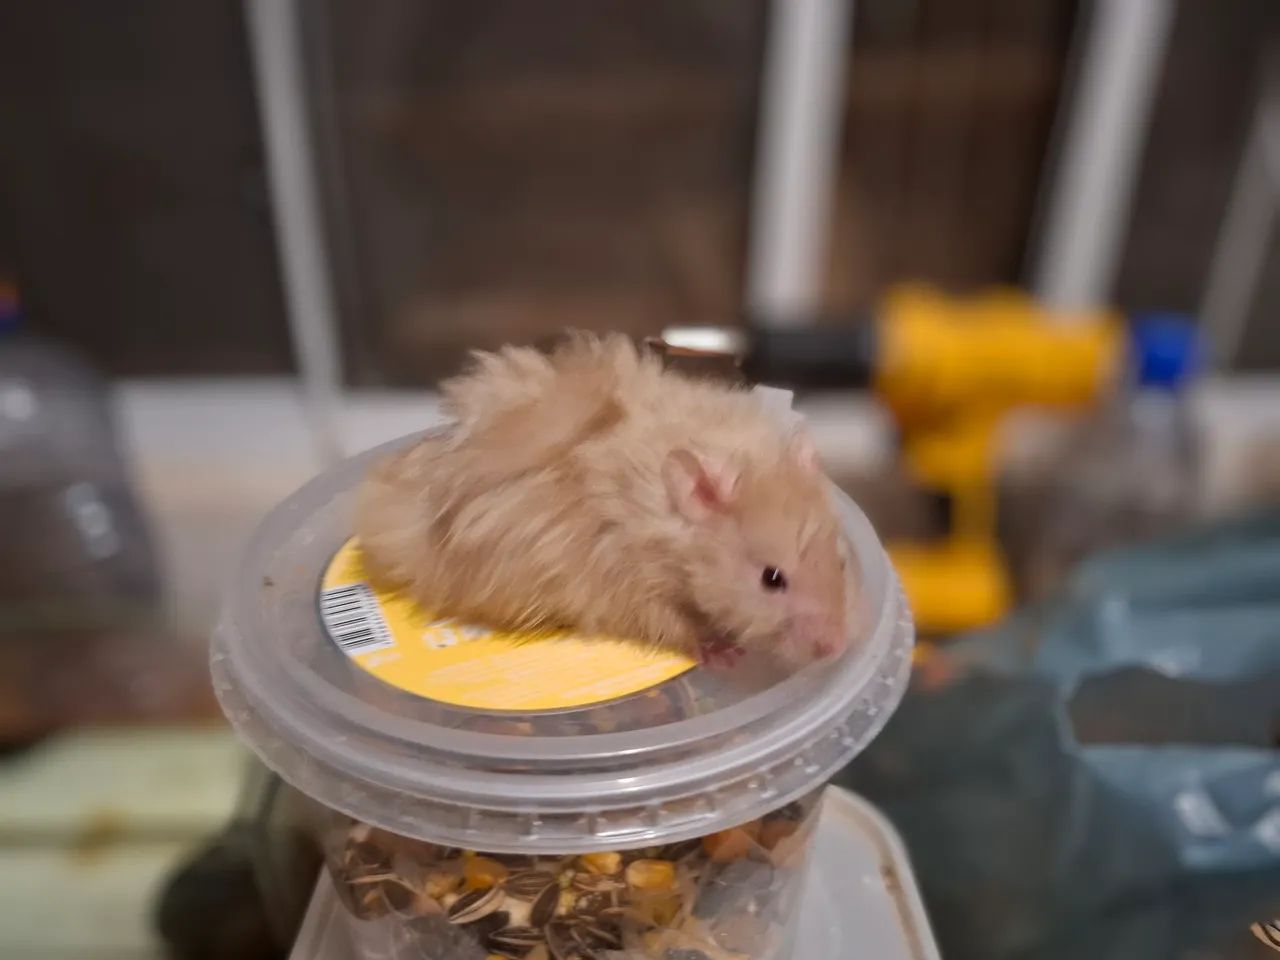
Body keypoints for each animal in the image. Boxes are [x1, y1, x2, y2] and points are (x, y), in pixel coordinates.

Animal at [355, 332, 853, 668]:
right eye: (772, 579)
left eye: (841, 561)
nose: (837, 646)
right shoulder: (627, 587)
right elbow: (675, 626)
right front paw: (724, 652)